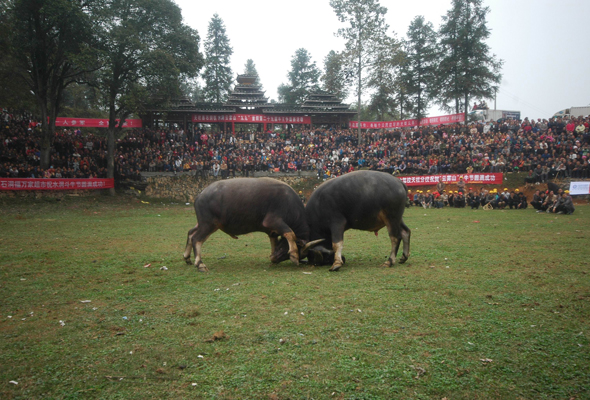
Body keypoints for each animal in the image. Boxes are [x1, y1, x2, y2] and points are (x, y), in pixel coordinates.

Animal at [185, 178, 324, 272]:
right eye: (300, 250)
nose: (274, 259)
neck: (290, 203)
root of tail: (200, 195)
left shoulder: (272, 231)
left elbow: (274, 242)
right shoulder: (273, 221)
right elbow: (290, 233)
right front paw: (294, 254)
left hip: (203, 223)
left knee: (191, 233)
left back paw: (187, 258)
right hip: (208, 224)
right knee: (197, 239)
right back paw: (200, 264)